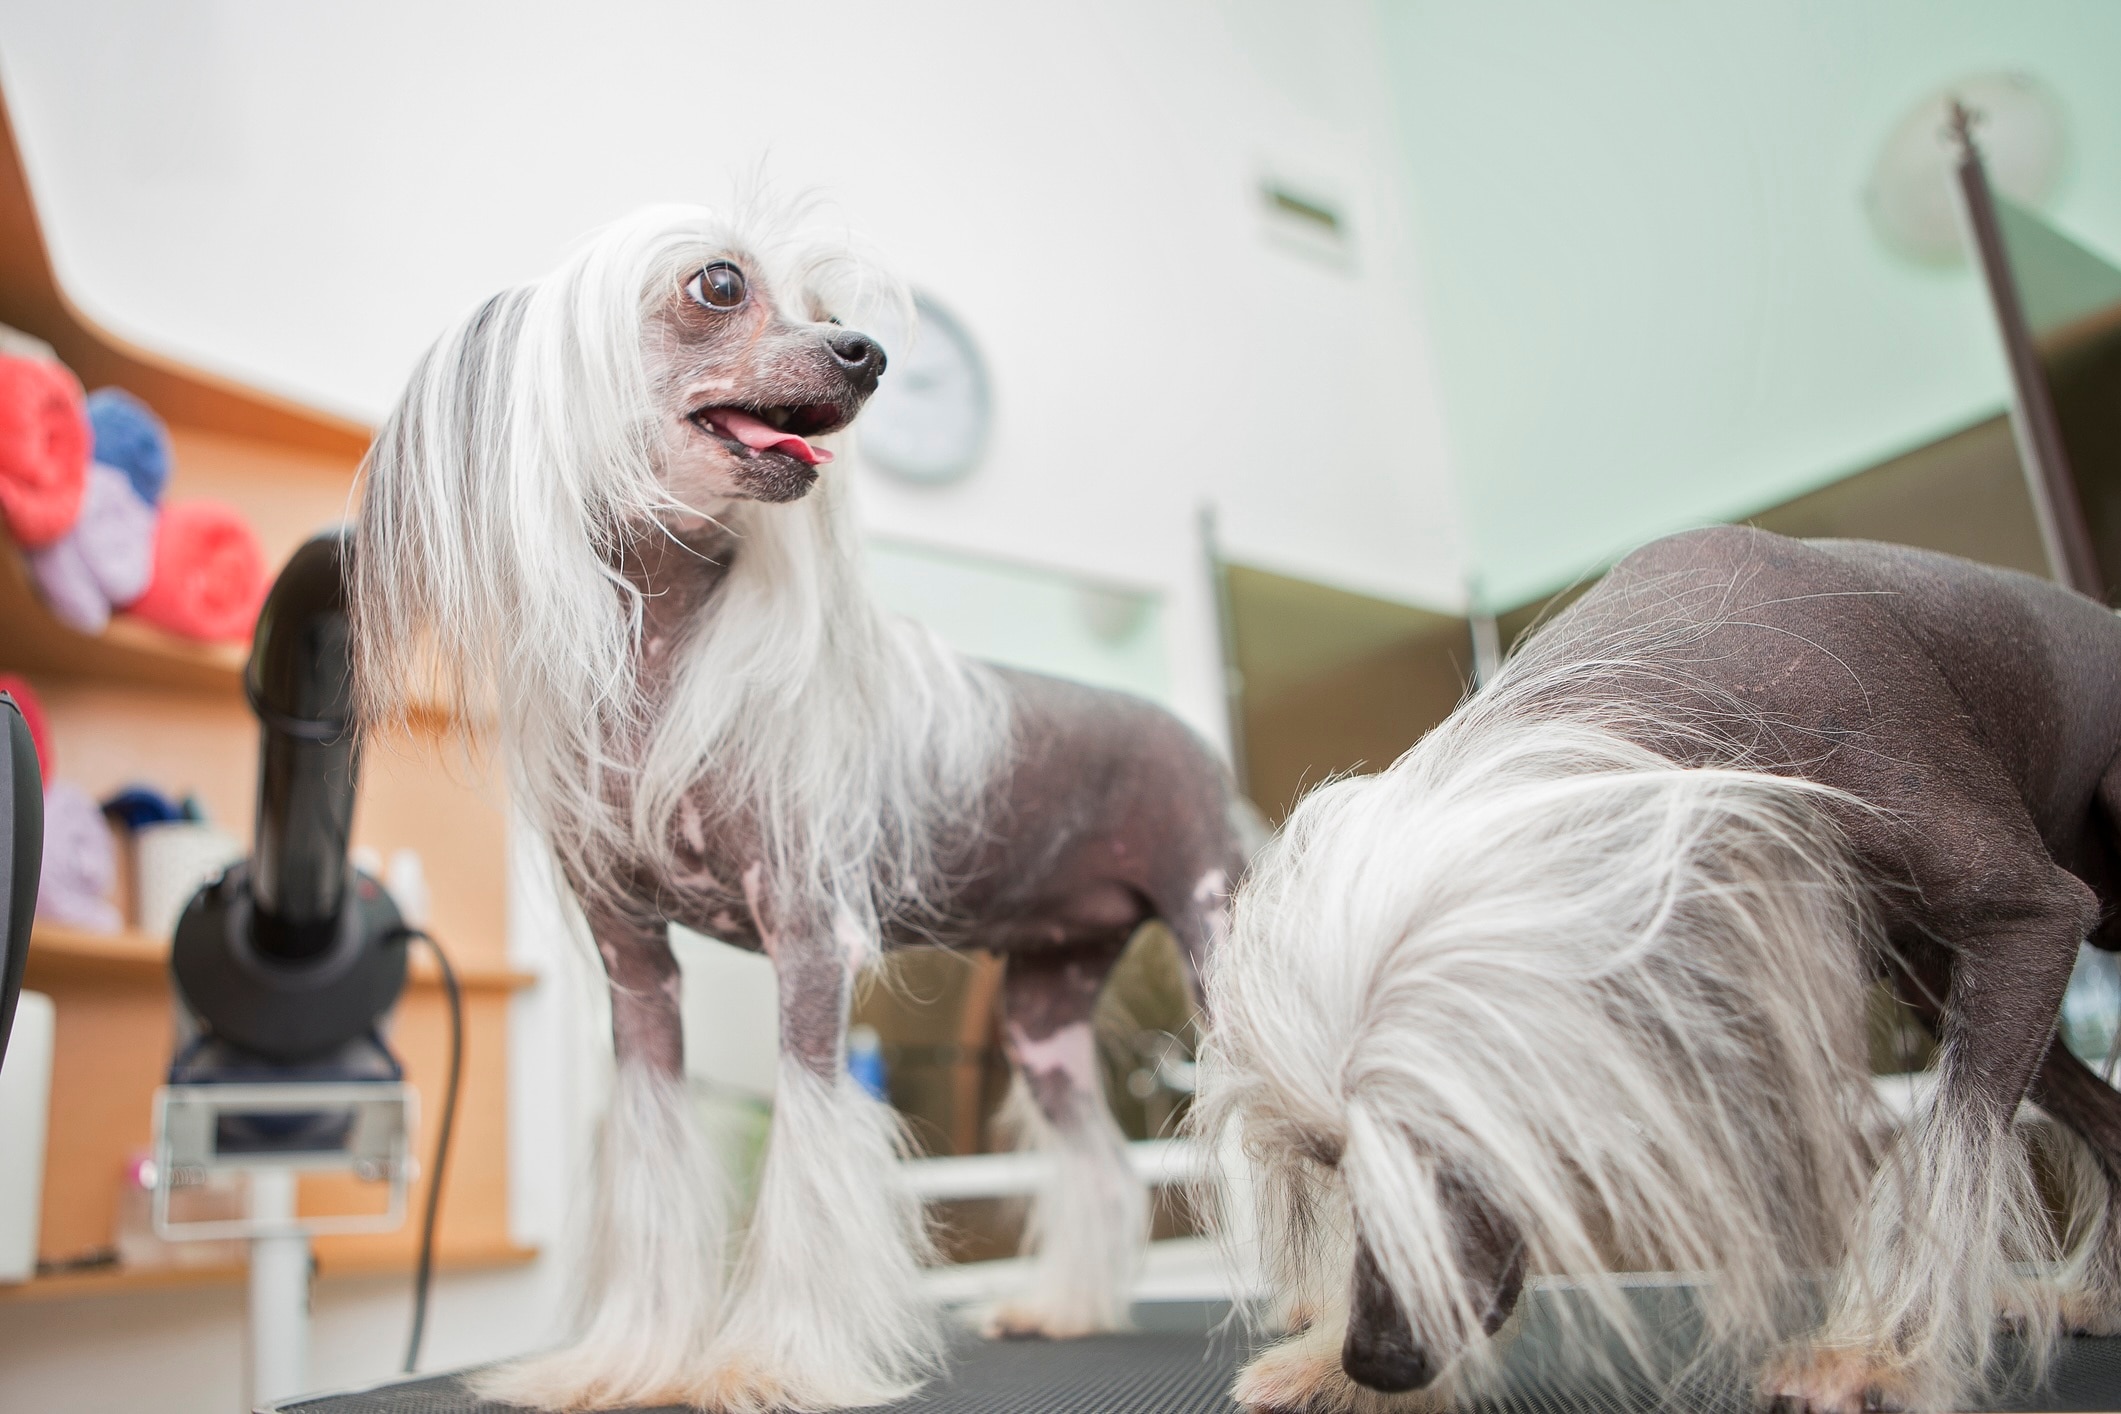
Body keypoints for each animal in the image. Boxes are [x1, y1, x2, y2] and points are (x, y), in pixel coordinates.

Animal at [339, 204, 1247, 1407]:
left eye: (823, 305)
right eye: (719, 284)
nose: (866, 353)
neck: (665, 651)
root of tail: (1186, 729)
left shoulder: (812, 943)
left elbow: (810, 1152)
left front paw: (774, 1361)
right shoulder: (635, 972)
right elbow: (653, 1157)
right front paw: (628, 1361)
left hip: (1215, 934)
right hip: (1044, 1007)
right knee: (1097, 1157)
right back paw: (1066, 1306)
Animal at [1204, 529, 2121, 1414]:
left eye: (1477, 1149)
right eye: (1337, 1164)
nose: (1377, 1359)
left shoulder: (2033, 920)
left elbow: (1947, 1158)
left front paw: (1871, 1353)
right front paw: (1325, 1365)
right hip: (1934, 986)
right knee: (2108, 1122)